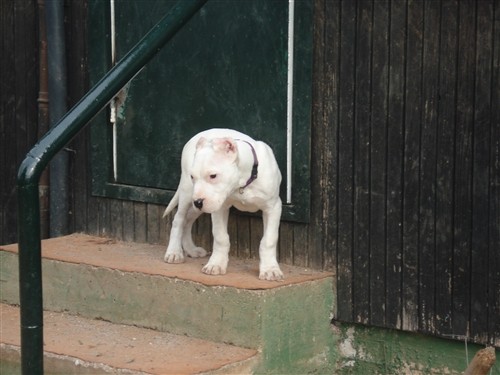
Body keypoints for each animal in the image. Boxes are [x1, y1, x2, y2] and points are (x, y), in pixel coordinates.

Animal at [162, 128, 284, 280]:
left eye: (213, 176)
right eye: (192, 176)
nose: (198, 202)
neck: (243, 182)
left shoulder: (272, 207)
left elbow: (269, 240)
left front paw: (270, 269)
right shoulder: (219, 208)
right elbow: (220, 237)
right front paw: (216, 264)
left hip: (198, 206)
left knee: (187, 220)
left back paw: (191, 249)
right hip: (187, 192)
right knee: (179, 220)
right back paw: (174, 252)